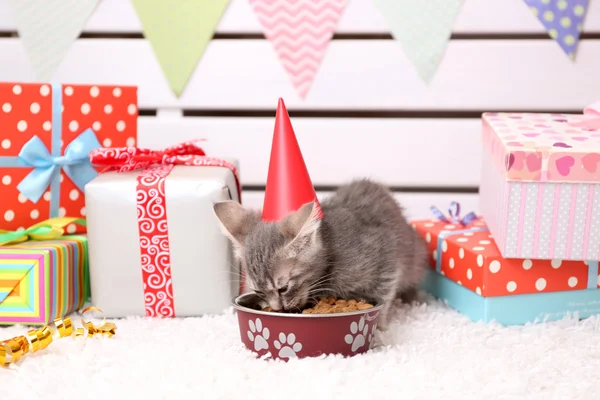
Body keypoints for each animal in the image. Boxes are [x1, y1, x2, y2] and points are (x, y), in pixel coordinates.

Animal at [213, 180, 428, 330]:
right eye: (258, 291)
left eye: (283, 288)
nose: (278, 308)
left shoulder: (386, 257)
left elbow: (383, 293)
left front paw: (380, 331)